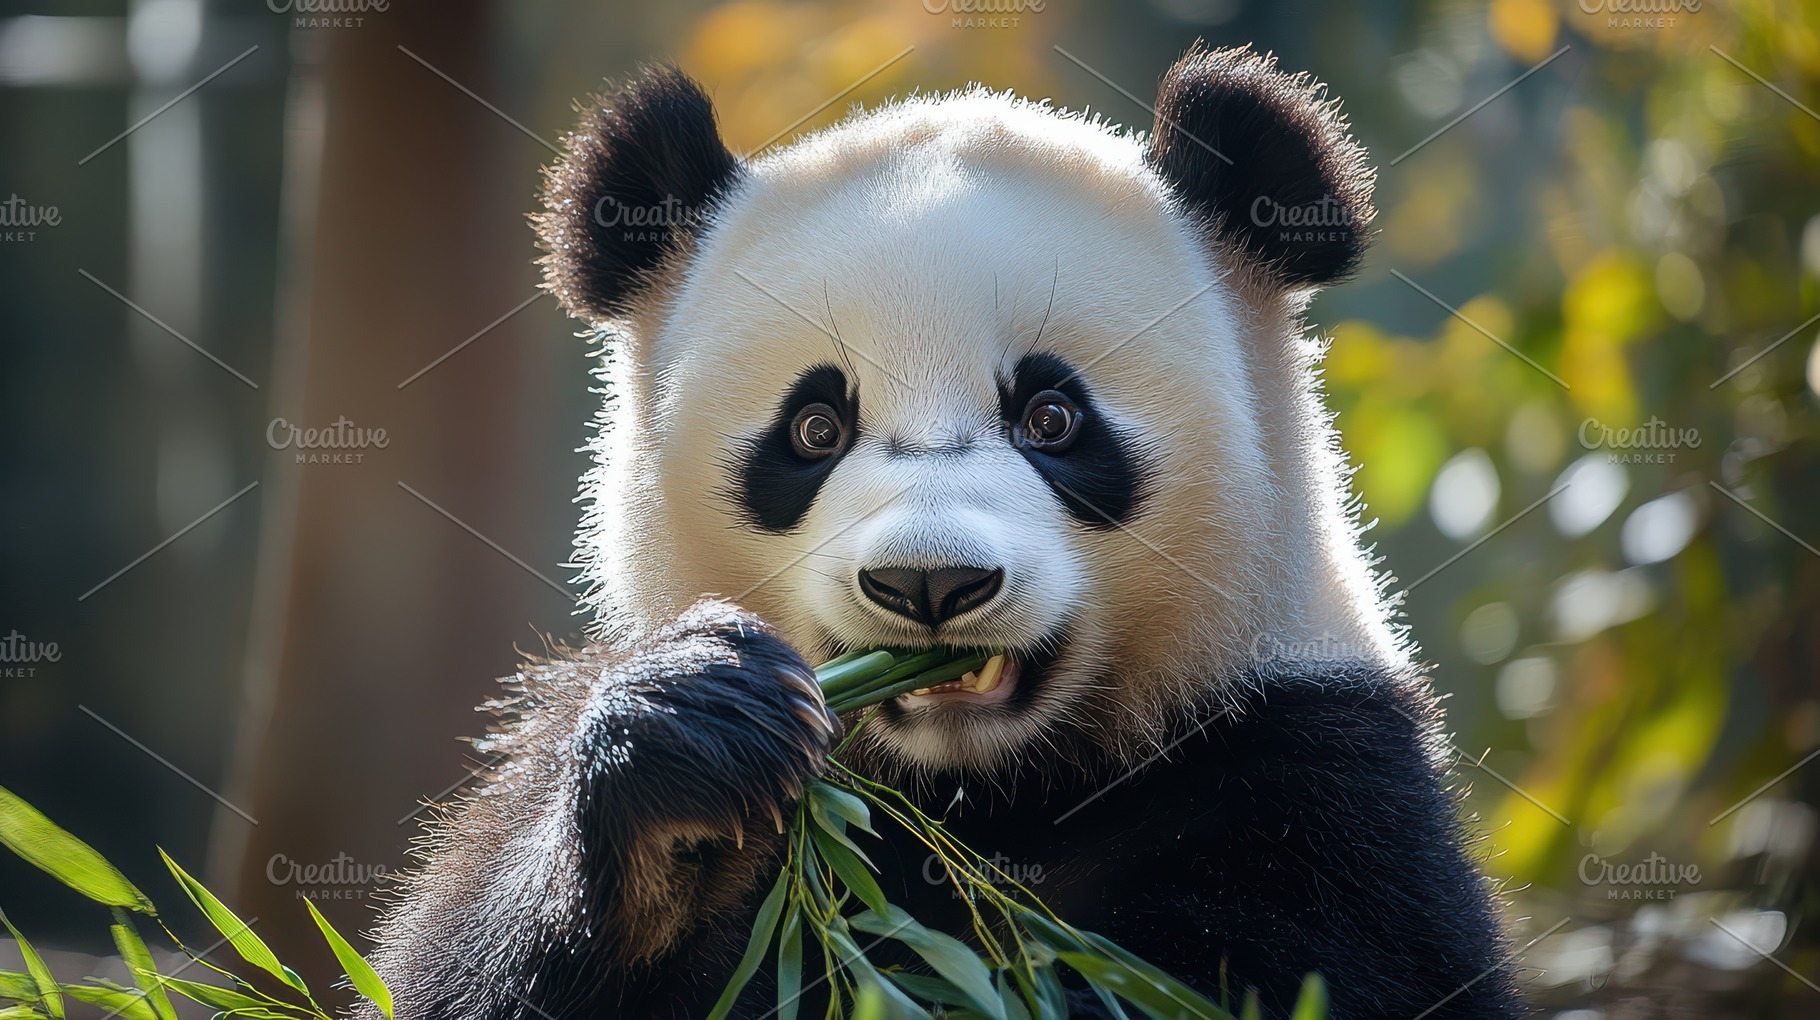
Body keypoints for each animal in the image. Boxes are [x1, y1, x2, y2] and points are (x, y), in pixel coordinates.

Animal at [365, 44, 1522, 1020]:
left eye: (1051, 419)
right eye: (814, 428)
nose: (929, 584)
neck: (978, 796)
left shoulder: (1309, 781)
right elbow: (461, 967)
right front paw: (688, 754)